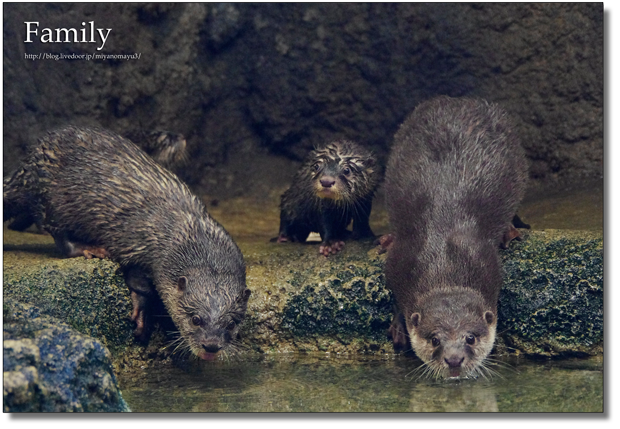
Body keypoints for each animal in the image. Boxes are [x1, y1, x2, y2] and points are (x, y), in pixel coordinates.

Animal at [3, 125, 249, 360]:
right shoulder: (135, 247)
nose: (211, 346)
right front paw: (141, 317)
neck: (181, 229)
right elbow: (140, 285)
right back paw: (88, 249)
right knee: (55, 231)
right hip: (50, 198)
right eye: (195, 319)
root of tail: (28, 165)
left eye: (231, 323)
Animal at [382, 96, 528, 378]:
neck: (444, 263)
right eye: (434, 339)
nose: (454, 359)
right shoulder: (399, 261)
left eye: (470, 338)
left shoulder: (488, 262)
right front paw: (398, 326)